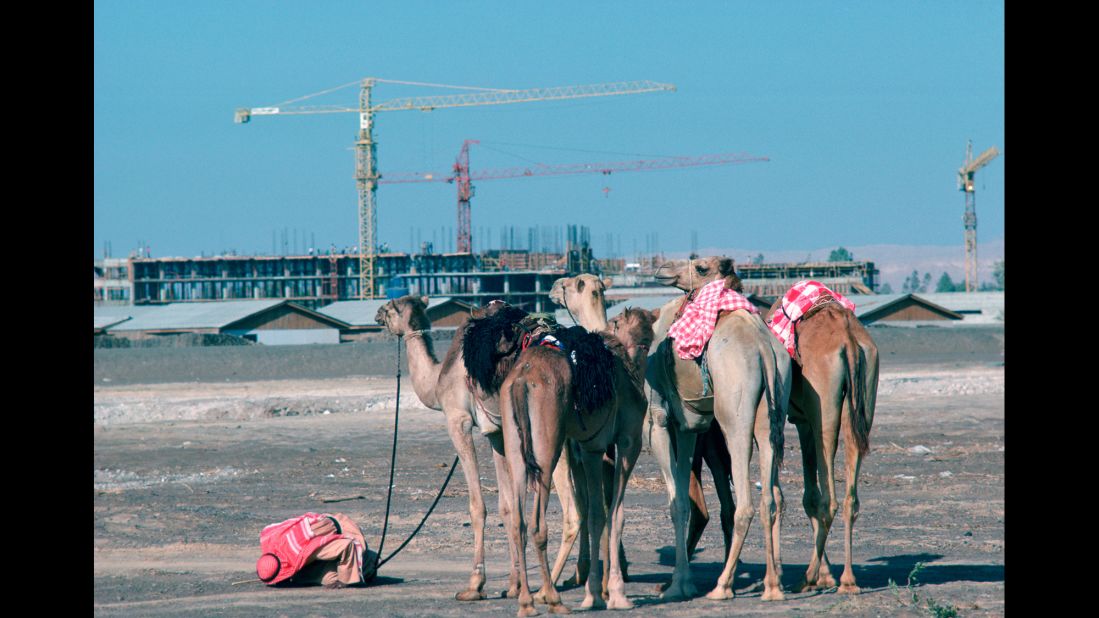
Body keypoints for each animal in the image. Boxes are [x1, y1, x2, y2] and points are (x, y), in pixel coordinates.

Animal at [373, 296, 575, 598]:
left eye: (392, 306)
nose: (377, 313)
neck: (438, 379)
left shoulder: (459, 421)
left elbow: (477, 506)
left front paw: (474, 584)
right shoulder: (497, 434)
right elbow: (507, 506)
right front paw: (513, 585)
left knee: (573, 509)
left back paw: (551, 587)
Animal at [503, 303, 655, 611]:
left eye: (649, 339)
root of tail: (522, 380)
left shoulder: (589, 448)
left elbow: (598, 512)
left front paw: (599, 591)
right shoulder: (623, 443)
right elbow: (612, 514)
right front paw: (612, 594)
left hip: (516, 445)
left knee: (518, 522)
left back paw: (527, 601)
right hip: (547, 448)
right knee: (538, 523)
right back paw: (552, 598)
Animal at [641, 254, 791, 598]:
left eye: (700, 267)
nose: (662, 270)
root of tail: (763, 349)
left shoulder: (659, 418)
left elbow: (677, 503)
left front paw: (676, 586)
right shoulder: (688, 425)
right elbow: (684, 501)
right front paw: (682, 582)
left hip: (734, 414)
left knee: (745, 503)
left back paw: (723, 586)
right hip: (772, 410)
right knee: (771, 497)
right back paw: (772, 586)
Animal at [760, 292, 879, 593]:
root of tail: (849, 341)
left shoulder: (801, 421)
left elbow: (803, 497)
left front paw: (819, 576)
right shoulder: (804, 421)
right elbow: (809, 496)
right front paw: (827, 575)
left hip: (822, 405)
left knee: (829, 499)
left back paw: (808, 576)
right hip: (862, 397)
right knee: (849, 496)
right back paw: (848, 579)